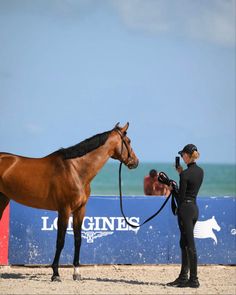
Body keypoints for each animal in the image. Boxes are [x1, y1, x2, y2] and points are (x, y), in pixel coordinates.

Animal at [0, 122, 138, 282]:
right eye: (128, 141)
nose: (135, 162)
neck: (75, 170)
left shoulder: (80, 210)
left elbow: (78, 239)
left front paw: (76, 273)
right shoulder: (64, 210)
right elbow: (60, 241)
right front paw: (55, 274)